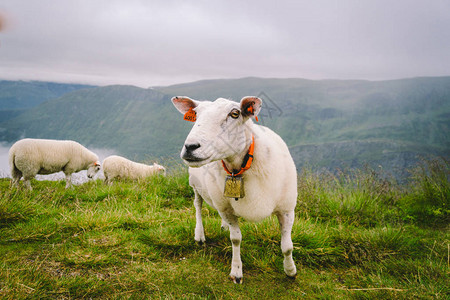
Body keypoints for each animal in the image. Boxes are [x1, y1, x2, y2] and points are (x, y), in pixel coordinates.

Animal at [173, 95, 298, 284]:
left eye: (234, 113)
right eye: (196, 114)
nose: (190, 147)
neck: (239, 167)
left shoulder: (287, 208)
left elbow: (287, 246)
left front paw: (290, 271)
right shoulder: (227, 209)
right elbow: (236, 239)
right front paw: (237, 272)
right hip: (195, 184)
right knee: (198, 206)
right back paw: (199, 235)